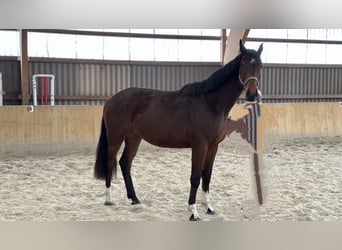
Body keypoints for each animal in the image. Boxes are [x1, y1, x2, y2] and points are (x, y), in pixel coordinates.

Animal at [94, 40, 264, 221]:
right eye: (243, 64)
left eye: (260, 65)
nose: (252, 94)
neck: (210, 104)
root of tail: (111, 100)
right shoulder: (199, 146)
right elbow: (195, 177)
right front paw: (193, 212)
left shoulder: (213, 147)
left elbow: (207, 176)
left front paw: (209, 208)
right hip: (115, 138)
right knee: (110, 162)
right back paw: (109, 200)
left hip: (134, 138)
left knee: (125, 163)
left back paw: (134, 199)